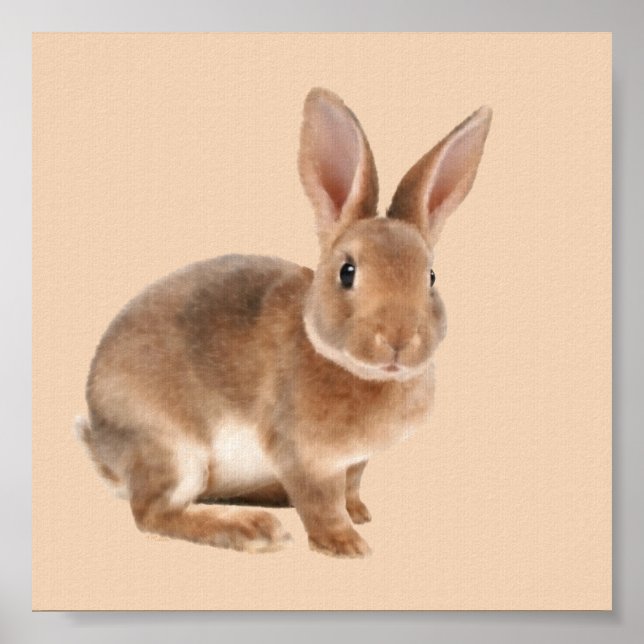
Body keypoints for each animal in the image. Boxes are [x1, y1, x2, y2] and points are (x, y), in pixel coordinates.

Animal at [76, 88, 492, 557]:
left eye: (431, 277)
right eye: (347, 272)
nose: (398, 339)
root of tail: (105, 449)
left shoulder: (353, 462)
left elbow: (350, 487)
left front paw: (358, 514)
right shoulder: (304, 456)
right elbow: (320, 502)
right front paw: (346, 544)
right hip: (172, 450)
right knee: (152, 512)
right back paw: (253, 530)